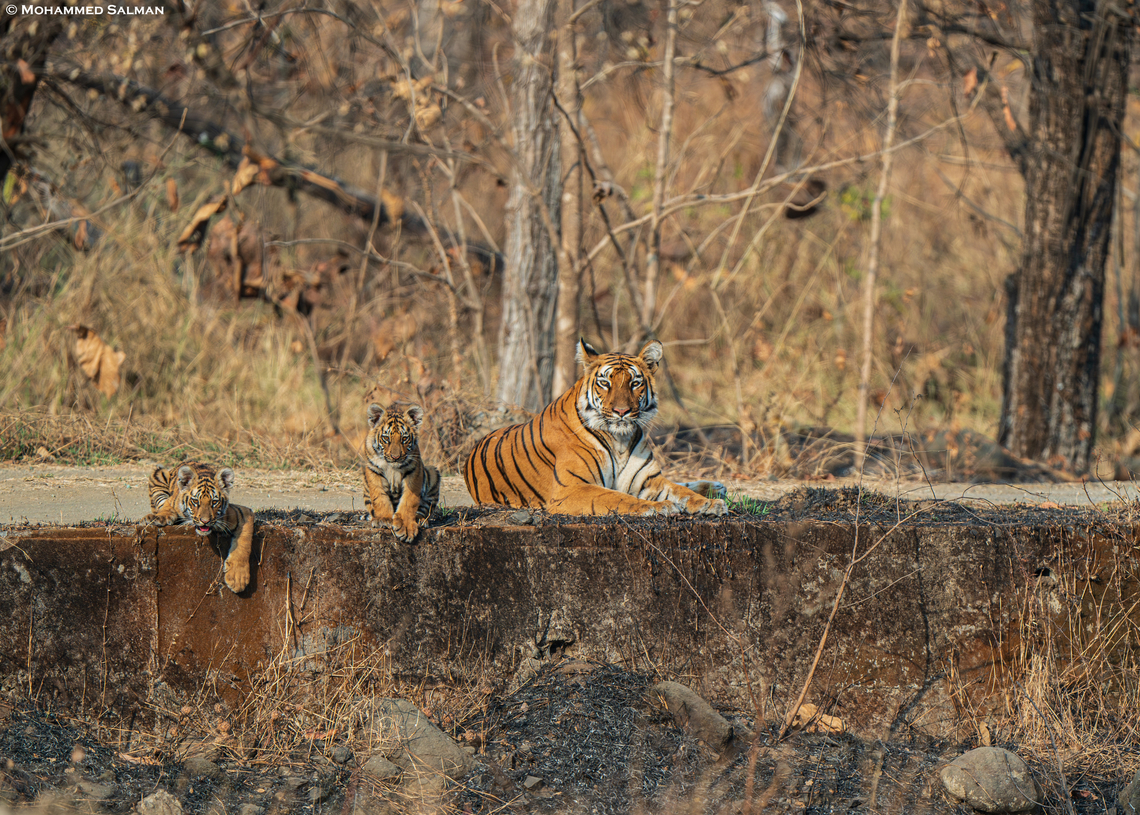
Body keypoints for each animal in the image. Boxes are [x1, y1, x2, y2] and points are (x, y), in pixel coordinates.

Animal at [143, 462, 255, 594]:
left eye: (214, 502)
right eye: (195, 501)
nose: (205, 521)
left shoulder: (244, 513)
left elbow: (244, 544)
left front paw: (238, 579)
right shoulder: (171, 502)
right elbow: (166, 509)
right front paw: (156, 518)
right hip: (159, 473)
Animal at [363, 402, 441, 541]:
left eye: (404, 438)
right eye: (386, 438)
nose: (395, 457)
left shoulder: (414, 472)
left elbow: (409, 501)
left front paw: (406, 527)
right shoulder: (373, 470)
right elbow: (379, 497)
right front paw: (384, 519)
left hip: (433, 473)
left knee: (424, 509)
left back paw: (420, 521)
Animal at [464, 339, 728, 517]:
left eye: (635, 383)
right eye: (605, 383)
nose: (622, 411)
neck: (620, 440)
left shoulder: (649, 480)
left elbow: (681, 491)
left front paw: (709, 504)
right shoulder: (571, 488)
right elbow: (617, 497)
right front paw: (660, 507)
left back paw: (715, 488)